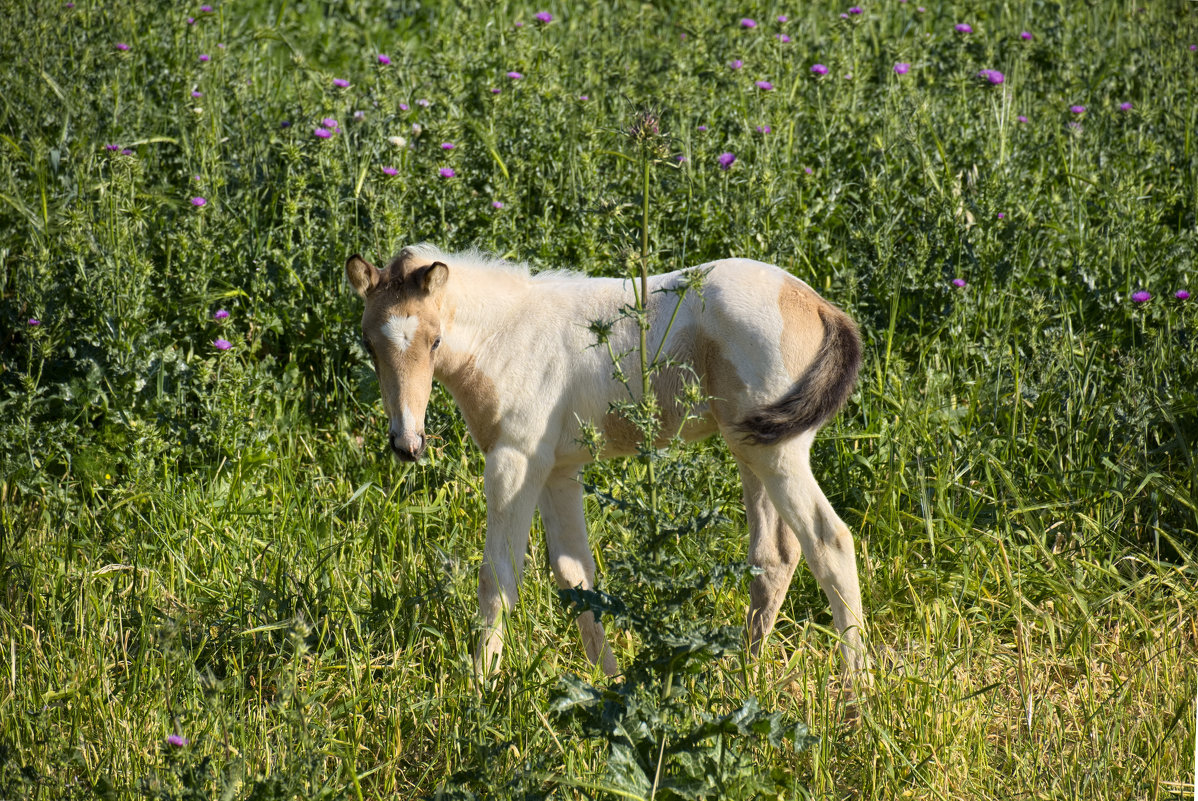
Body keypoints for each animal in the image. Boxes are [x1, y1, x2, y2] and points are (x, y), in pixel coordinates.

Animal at [347, 244, 872, 689]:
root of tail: (815, 304)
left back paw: (857, 688)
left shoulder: (514, 461)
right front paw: (612, 683)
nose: (407, 443)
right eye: (370, 345)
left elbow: (499, 575)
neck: (506, 337)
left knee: (829, 541)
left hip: (776, 454)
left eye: (435, 341)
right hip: (750, 449)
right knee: (775, 554)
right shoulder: (557, 472)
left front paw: (480, 688)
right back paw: (745, 674)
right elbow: (575, 575)